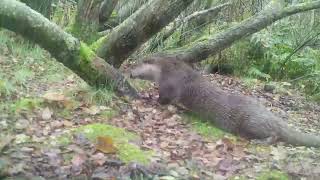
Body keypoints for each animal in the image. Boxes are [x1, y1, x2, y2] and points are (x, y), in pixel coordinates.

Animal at [129, 56, 320, 148]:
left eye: (134, 66)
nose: (129, 72)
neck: (166, 69)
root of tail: (273, 117)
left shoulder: (170, 84)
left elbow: (166, 98)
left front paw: (153, 101)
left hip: (252, 122)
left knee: (275, 135)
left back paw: (261, 142)